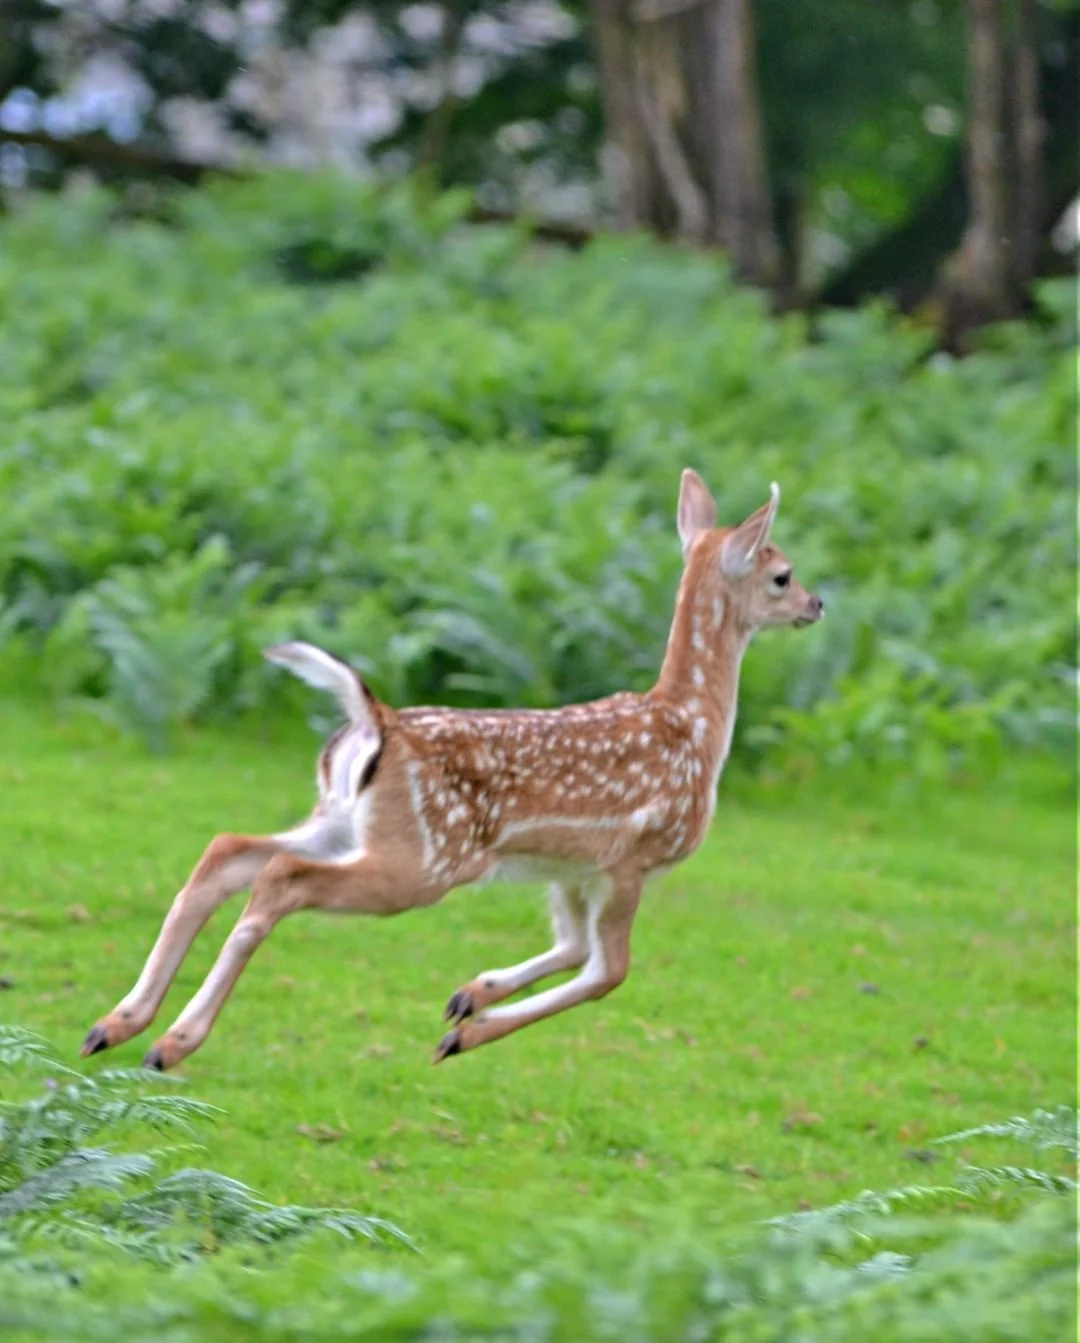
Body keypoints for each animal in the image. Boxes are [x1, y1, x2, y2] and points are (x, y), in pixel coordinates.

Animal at [82, 470, 827, 1069]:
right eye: (782, 573)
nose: (818, 604)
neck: (693, 727)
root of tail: (376, 720)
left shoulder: (567, 866)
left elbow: (569, 945)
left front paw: (470, 996)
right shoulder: (630, 857)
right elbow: (608, 970)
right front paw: (464, 1033)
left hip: (347, 821)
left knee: (228, 851)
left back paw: (116, 1023)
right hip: (426, 857)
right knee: (283, 877)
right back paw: (172, 1042)